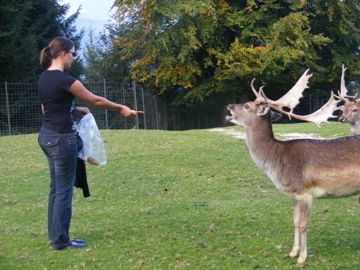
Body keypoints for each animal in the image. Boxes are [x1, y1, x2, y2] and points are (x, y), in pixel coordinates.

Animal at [226, 69, 360, 264]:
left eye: (247, 105)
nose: (228, 105)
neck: (277, 160)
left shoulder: (305, 192)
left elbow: (303, 225)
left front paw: (302, 258)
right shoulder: (295, 195)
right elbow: (295, 222)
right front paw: (291, 252)